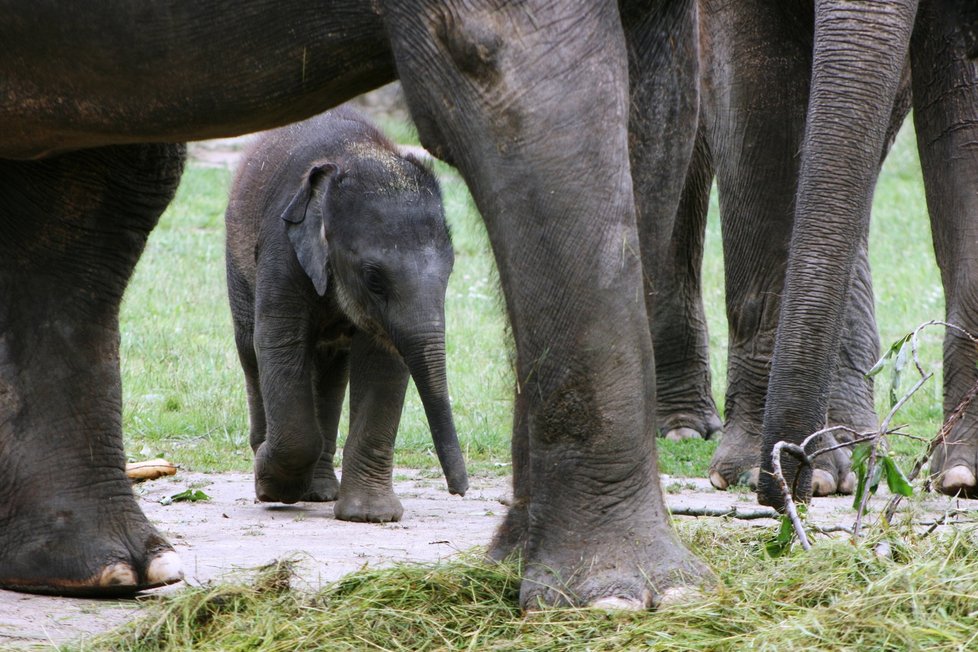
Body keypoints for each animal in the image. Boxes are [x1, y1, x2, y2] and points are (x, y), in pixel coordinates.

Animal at [225, 108, 466, 524]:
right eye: (373, 279)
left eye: (450, 272)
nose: (460, 491)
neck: (357, 154)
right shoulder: (280, 247)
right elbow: (278, 342)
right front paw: (272, 484)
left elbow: (384, 362)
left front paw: (371, 516)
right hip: (235, 260)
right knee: (250, 350)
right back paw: (275, 477)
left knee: (330, 370)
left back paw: (319, 492)